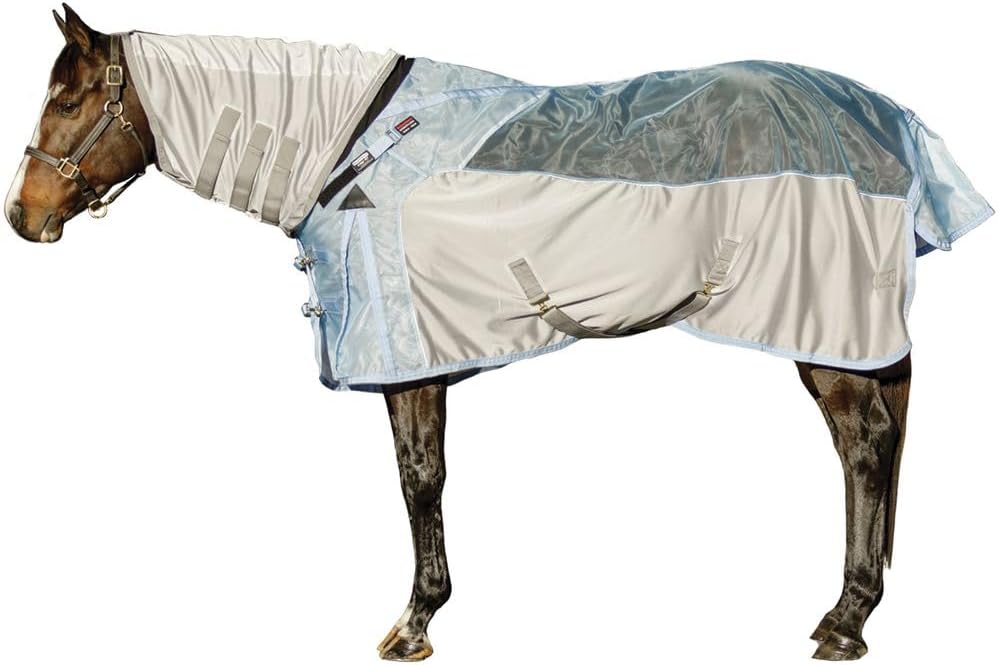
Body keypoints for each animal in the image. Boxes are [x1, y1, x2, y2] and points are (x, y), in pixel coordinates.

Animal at [5, 5, 993, 662]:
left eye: (69, 102)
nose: (23, 216)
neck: (352, 153)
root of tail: (883, 117)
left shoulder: (408, 360)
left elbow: (419, 480)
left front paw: (415, 622)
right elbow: (426, 478)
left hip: (825, 329)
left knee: (864, 446)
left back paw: (844, 621)